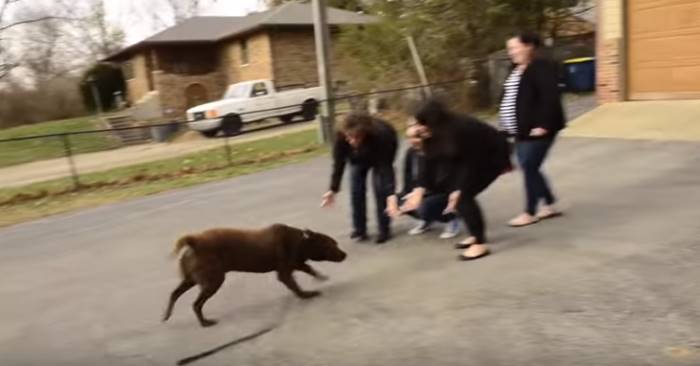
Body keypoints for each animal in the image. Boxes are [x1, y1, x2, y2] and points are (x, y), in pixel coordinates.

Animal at [162, 224, 348, 328]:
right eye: (332, 244)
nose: (344, 254)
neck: (301, 242)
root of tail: (195, 242)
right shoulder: (284, 271)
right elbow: (295, 285)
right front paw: (306, 295)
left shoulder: (296, 263)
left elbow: (309, 268)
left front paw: (320, 277)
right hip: (213, 280)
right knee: (196, 304)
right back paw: (205, 323)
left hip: (191, 279)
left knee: (174, 293)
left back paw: (166, 315)